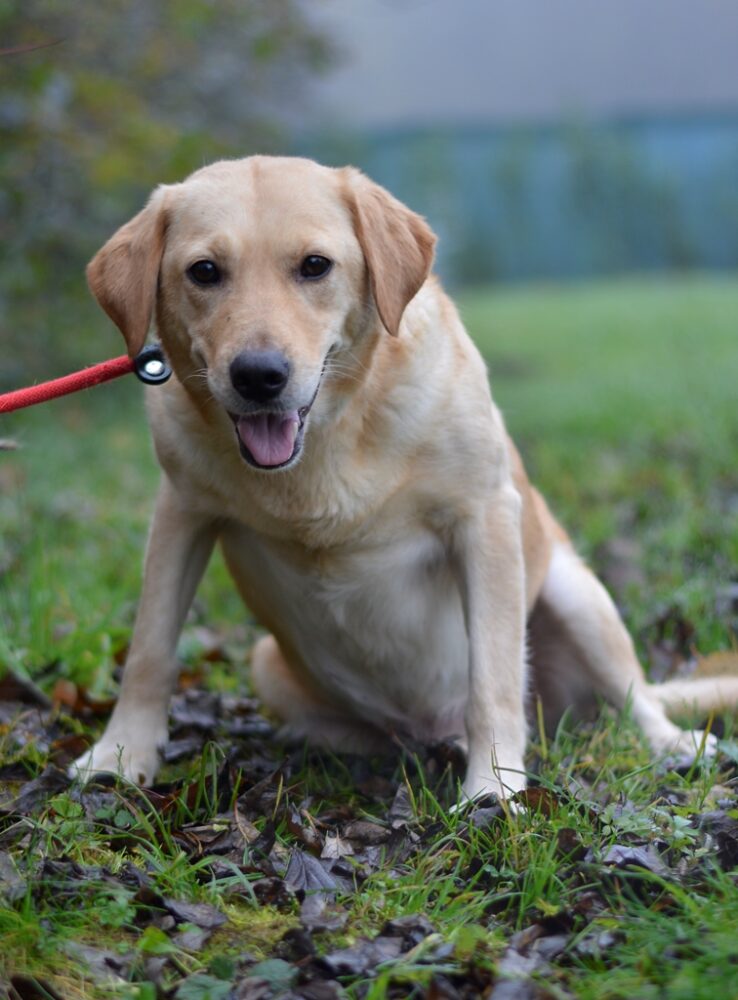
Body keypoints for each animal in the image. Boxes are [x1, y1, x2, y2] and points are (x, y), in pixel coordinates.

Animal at [74, 155, 738, 801]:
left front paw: (492, 788)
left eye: (314, 266)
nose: (259, 375)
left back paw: (672, 744)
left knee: (636, 699)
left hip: (578, 597)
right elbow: (150, 649)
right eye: (205, 271)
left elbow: (492, 677)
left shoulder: (484, 518)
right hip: (269, 662)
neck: (327, 444)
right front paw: (119, 755)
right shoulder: (181, 514)